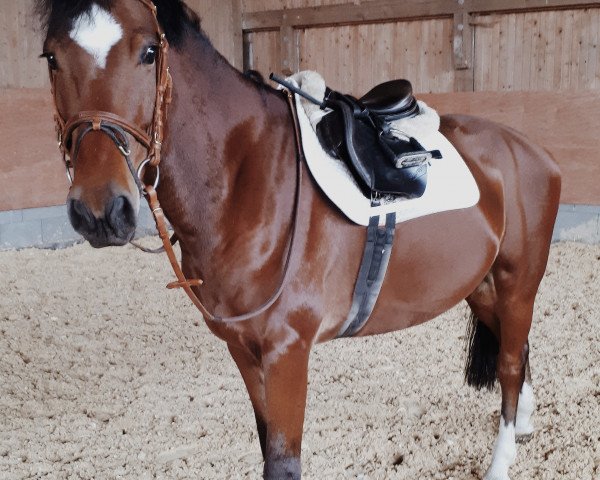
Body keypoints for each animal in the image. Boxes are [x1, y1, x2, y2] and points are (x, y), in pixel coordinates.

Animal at [38, 1, 564, 478]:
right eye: (52, 57)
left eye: (149, 52)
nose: (100, 211)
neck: (247, 179)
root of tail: (531, 150)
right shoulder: (243, 349)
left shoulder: (287, 352)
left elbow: (283, 462)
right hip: (482, 287)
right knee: (516, 352)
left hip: (519, 282)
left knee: (510, 364)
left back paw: (501, 461)